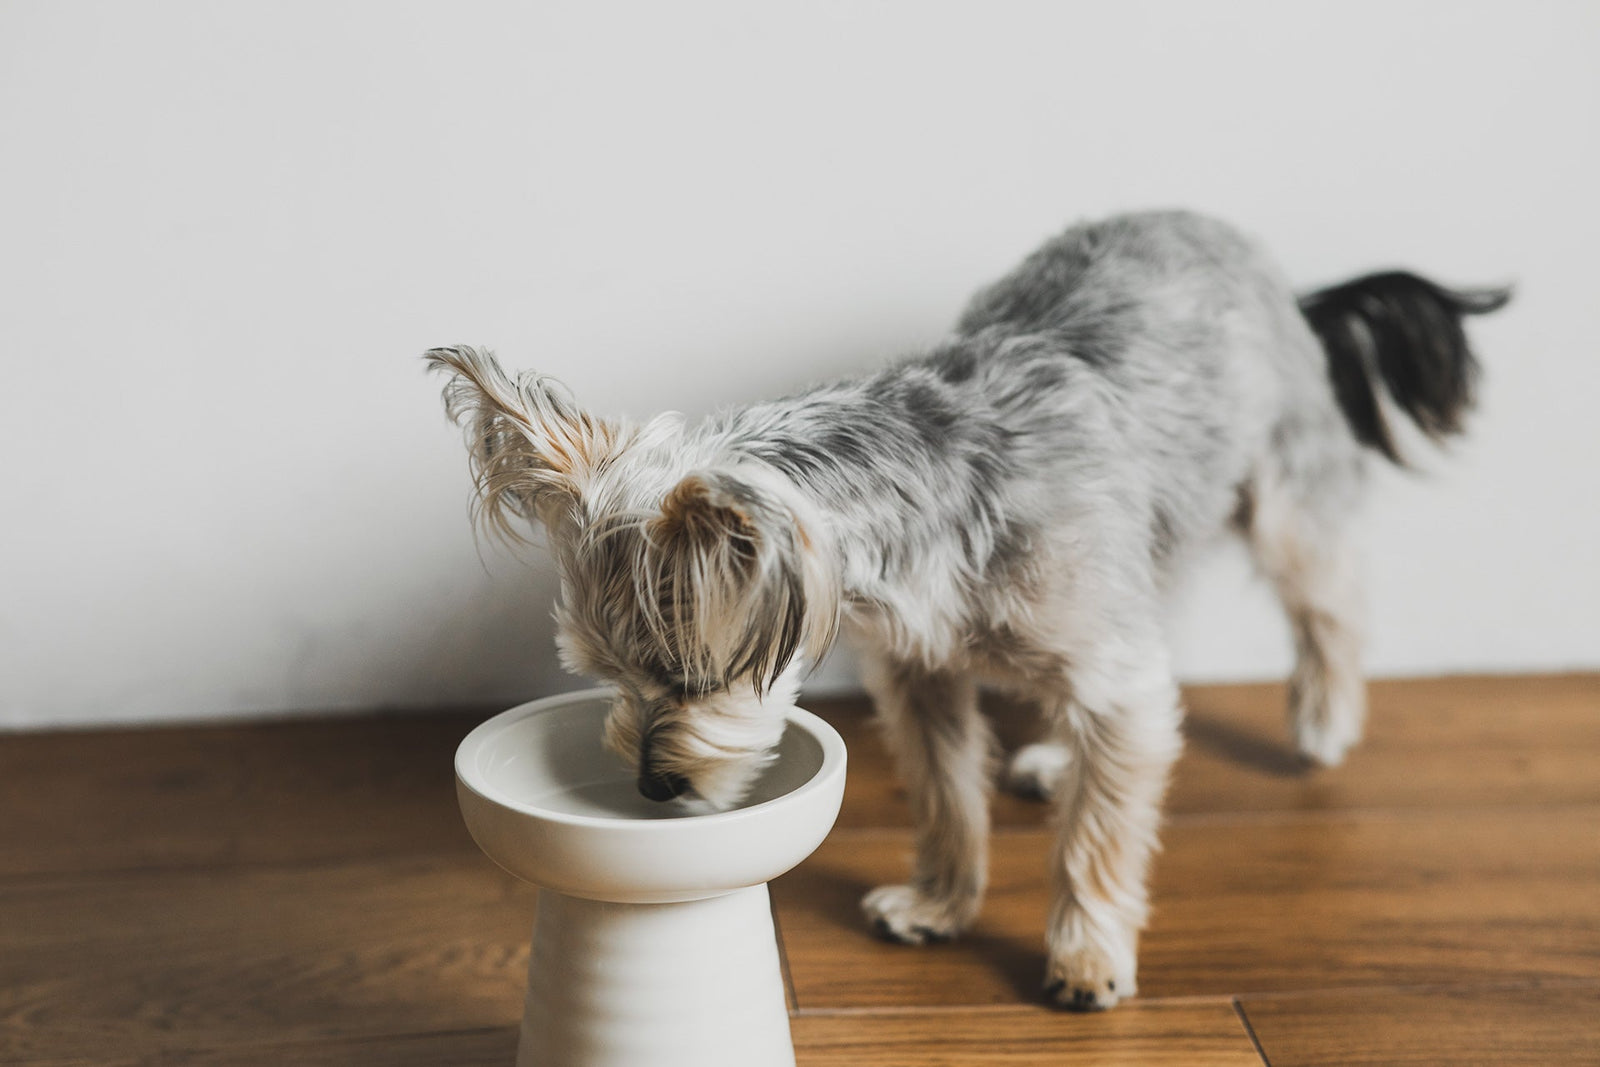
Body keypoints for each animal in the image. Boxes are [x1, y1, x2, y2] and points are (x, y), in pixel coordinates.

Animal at [422, 207, 1497, 1011]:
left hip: (1279, 498)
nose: (652, 788)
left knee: (1326, 604)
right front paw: (941, 904)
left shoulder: (1100, 654)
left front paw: (1087, 957)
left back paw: (1322, 721)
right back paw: (1061, 757)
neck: (931, 488)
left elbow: (1101, 832)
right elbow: (947, 792)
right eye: (606, 676)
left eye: (690, 677)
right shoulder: (921, 670)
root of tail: (1280, 277)